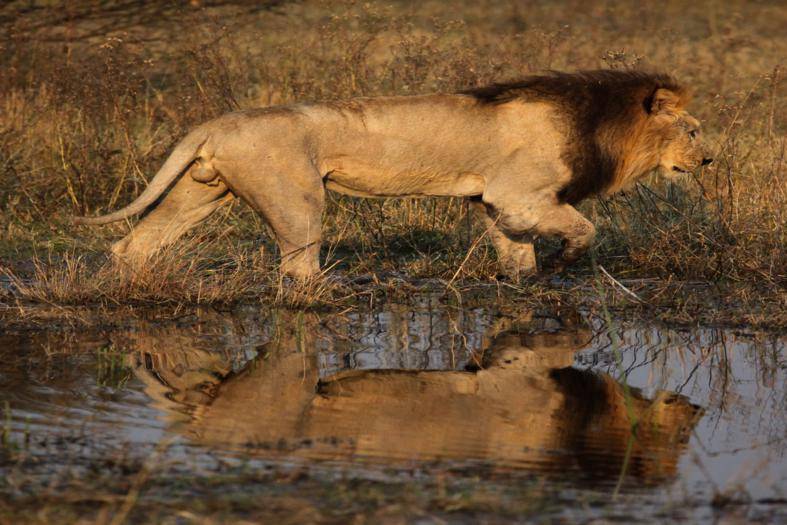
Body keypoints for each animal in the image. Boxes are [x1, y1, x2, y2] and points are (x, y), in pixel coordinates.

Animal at [75, 72, 716, 282]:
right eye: (692, 131)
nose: (709, 162)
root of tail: (215, 121)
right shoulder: (519, 195)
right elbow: (585, 229)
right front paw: (565, 263)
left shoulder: (498, 203)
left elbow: (516, 255)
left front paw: (527, 283)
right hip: (298, 198)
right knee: (298, 266)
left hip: (201, 191)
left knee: (136, 242)